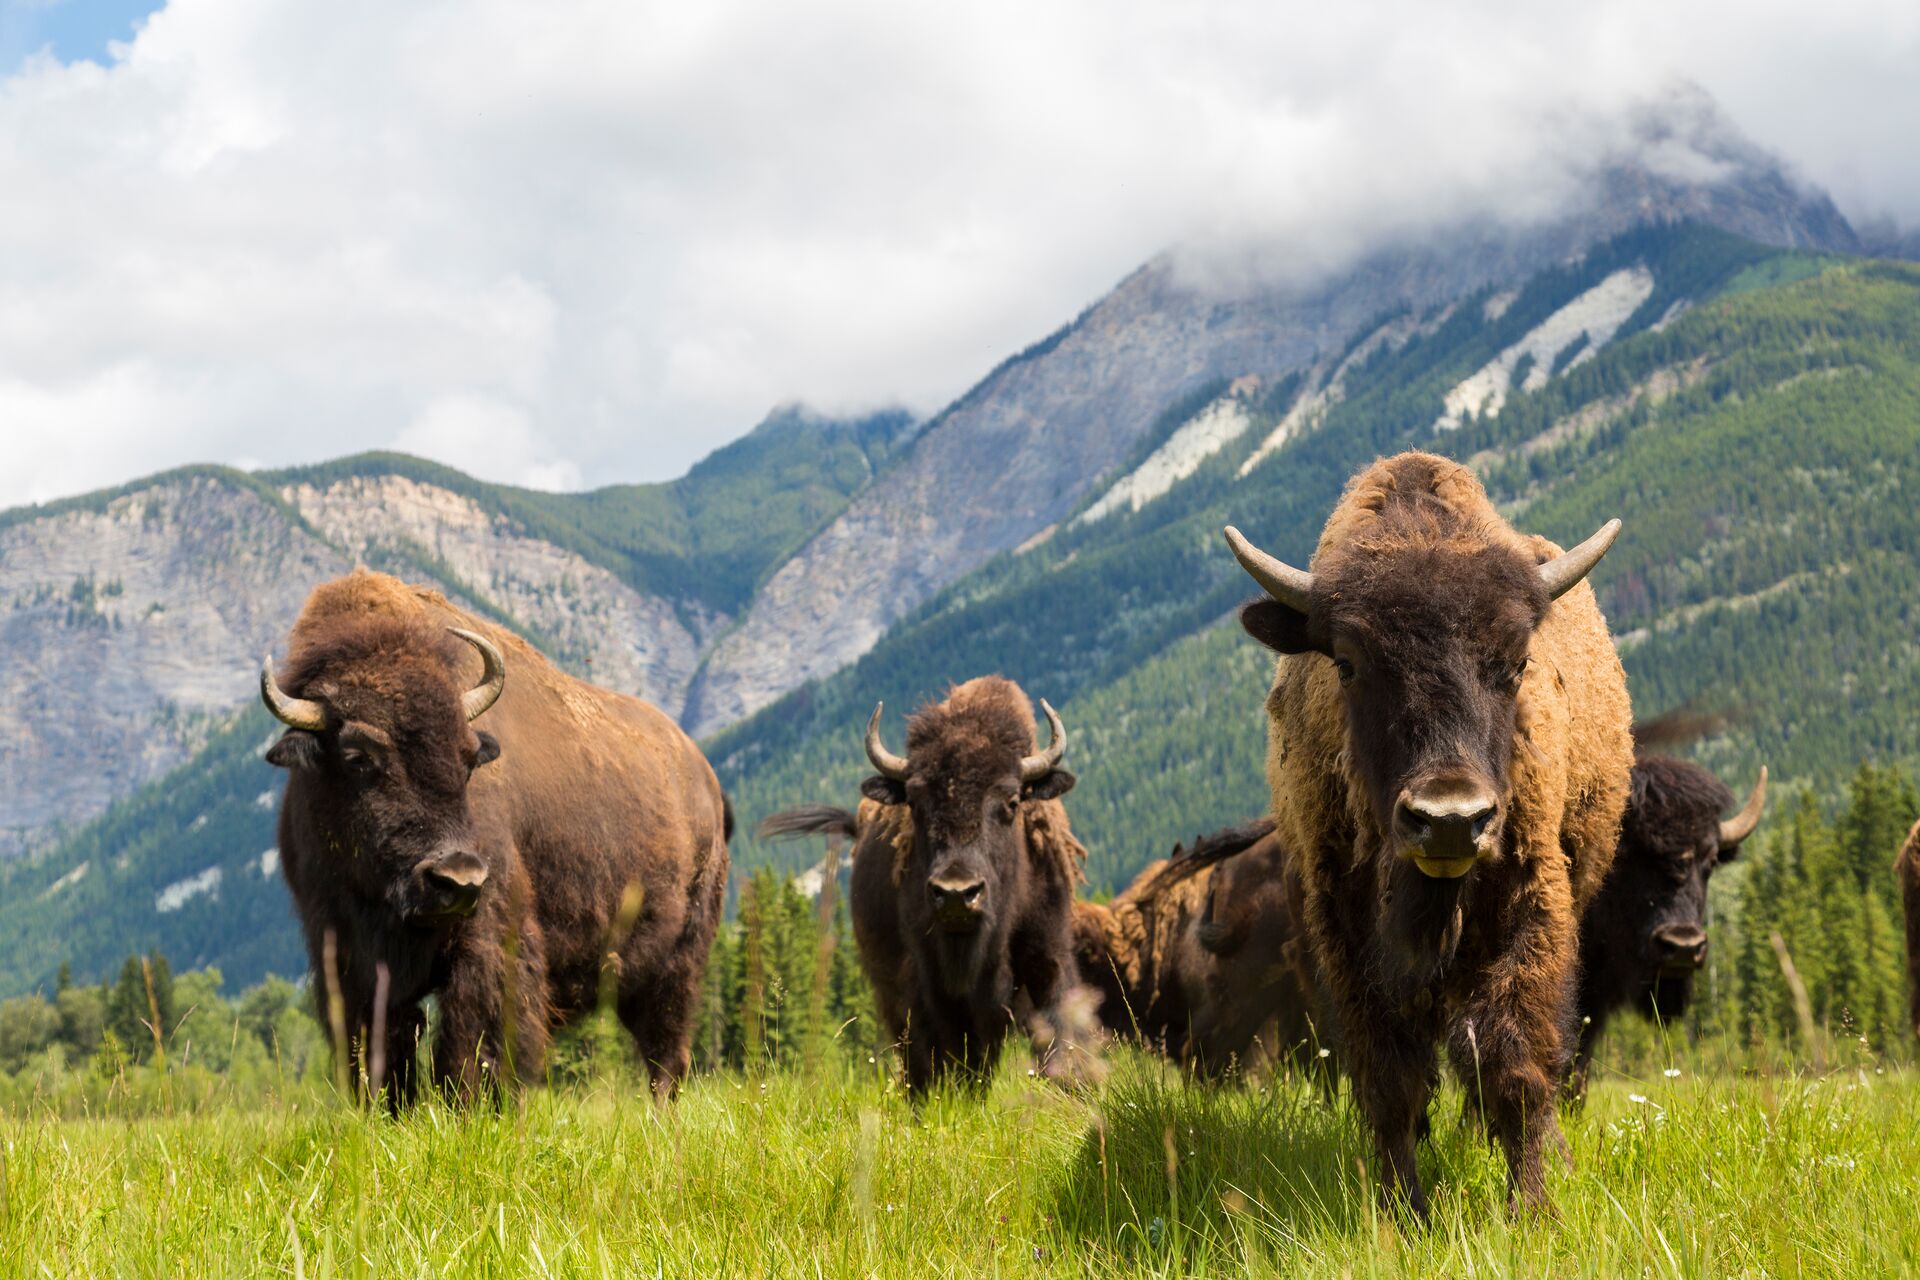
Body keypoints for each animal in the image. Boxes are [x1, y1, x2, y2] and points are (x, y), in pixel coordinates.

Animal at [261, 570, 730, 1103]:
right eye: (358, 757)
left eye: (469, 758)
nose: (456, 877)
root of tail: (705, 779)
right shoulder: (347, 955)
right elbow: (384, 1048)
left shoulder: (488, 938)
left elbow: (473, 1042)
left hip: (680, 961)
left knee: (665, 1054)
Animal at [761, 677, 1103, 1093]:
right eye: (915, 802)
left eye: (1011, 801)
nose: (957, 893)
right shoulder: (926, 979)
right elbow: (944, 1051)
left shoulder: (1047, 954)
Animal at [1226, 451, 1633, 1214]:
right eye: (1347, 662)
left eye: (1517, 660)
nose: (1449, 819)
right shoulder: (1347, 931)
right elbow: (1391, 1080)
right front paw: (1401, 1211)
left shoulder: (1531, 905)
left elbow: (1515, 1064)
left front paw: (1532, 1210)